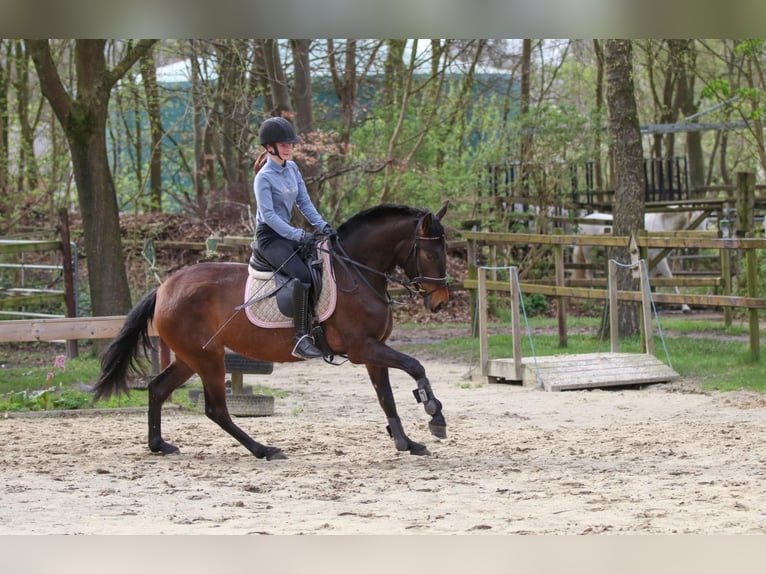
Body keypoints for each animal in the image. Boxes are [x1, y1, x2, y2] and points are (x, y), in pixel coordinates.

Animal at [97, 202, 456, 460]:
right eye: (428, 253)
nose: (440, 301)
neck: (356, 272)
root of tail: (164, 288)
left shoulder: (373, 350)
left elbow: (387, 399)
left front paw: (406, 442)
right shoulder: (362, 349)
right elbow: (415, 366)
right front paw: (435, 416)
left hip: (189, 357)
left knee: (158, 389)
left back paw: (159, 444)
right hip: (208, 358)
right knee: (216, 410)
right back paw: (264, 450)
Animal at [572, 210, 704, 312]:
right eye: (697, 221)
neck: (661, 225)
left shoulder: (654, 260)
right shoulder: (660, 259)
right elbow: (670, 278)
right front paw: (685, 307)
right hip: (590, 253)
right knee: (589, 273)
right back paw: (592, 296)